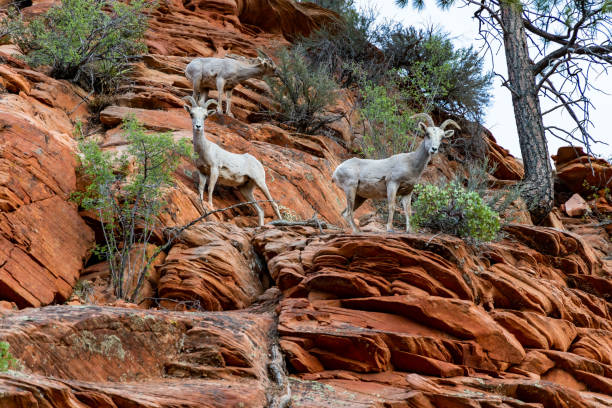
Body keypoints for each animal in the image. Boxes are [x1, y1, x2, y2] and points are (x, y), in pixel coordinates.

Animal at [183, 95, 284, 226]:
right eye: (191, 114)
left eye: (205, 116)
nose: (198, 127)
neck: (204, 150)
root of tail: (258, 163)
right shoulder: (202, 172)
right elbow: (200, 188)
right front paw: (202, 203)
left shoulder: (214, 170)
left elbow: (210, 188)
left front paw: (210, 205)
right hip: (245, 190)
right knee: (260, 210)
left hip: (260, 182)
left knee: (274, 204)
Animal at [332, 113, 462, 233]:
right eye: (427, 134)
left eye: (441, 137)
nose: (434, 149)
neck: (411, 165)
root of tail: (337, 170)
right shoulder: (392, 183)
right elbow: (392, 206)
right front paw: (389, 229)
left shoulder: (407, 192)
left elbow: (408, 211)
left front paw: (409, 231)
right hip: (350, 189)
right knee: (348, 213)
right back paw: (358, 231)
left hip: (360, 196)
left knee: (344, 213)